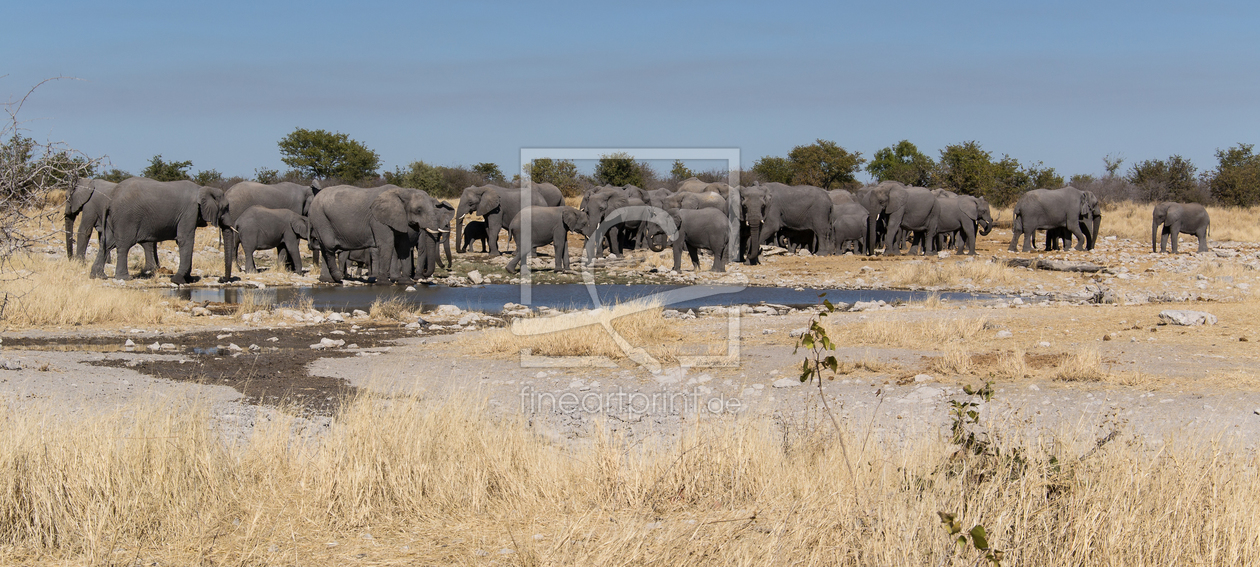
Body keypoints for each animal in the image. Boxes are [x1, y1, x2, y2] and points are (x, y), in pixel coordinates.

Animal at [88, 177, 224, 283]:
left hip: (113, 218)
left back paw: (98, 276)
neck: (202, 188)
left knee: (107, 244)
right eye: (225, 208)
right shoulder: (189, 211)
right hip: (126, 217)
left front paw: (188, 280)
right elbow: (184, 240)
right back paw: (124, 278)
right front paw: (179, 280)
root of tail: (111, 198)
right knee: (124, 244)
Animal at [307, 185, 446, 286]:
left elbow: (403, 246)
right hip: (320, 218)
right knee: (329, 246)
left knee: (324, 248)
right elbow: (387, 245)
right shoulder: (378, 220)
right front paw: (384, 283)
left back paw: (328, 280)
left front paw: (406, 282)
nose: (424, 275)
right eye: (418, 210)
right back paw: (337, 278)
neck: (403, 191)